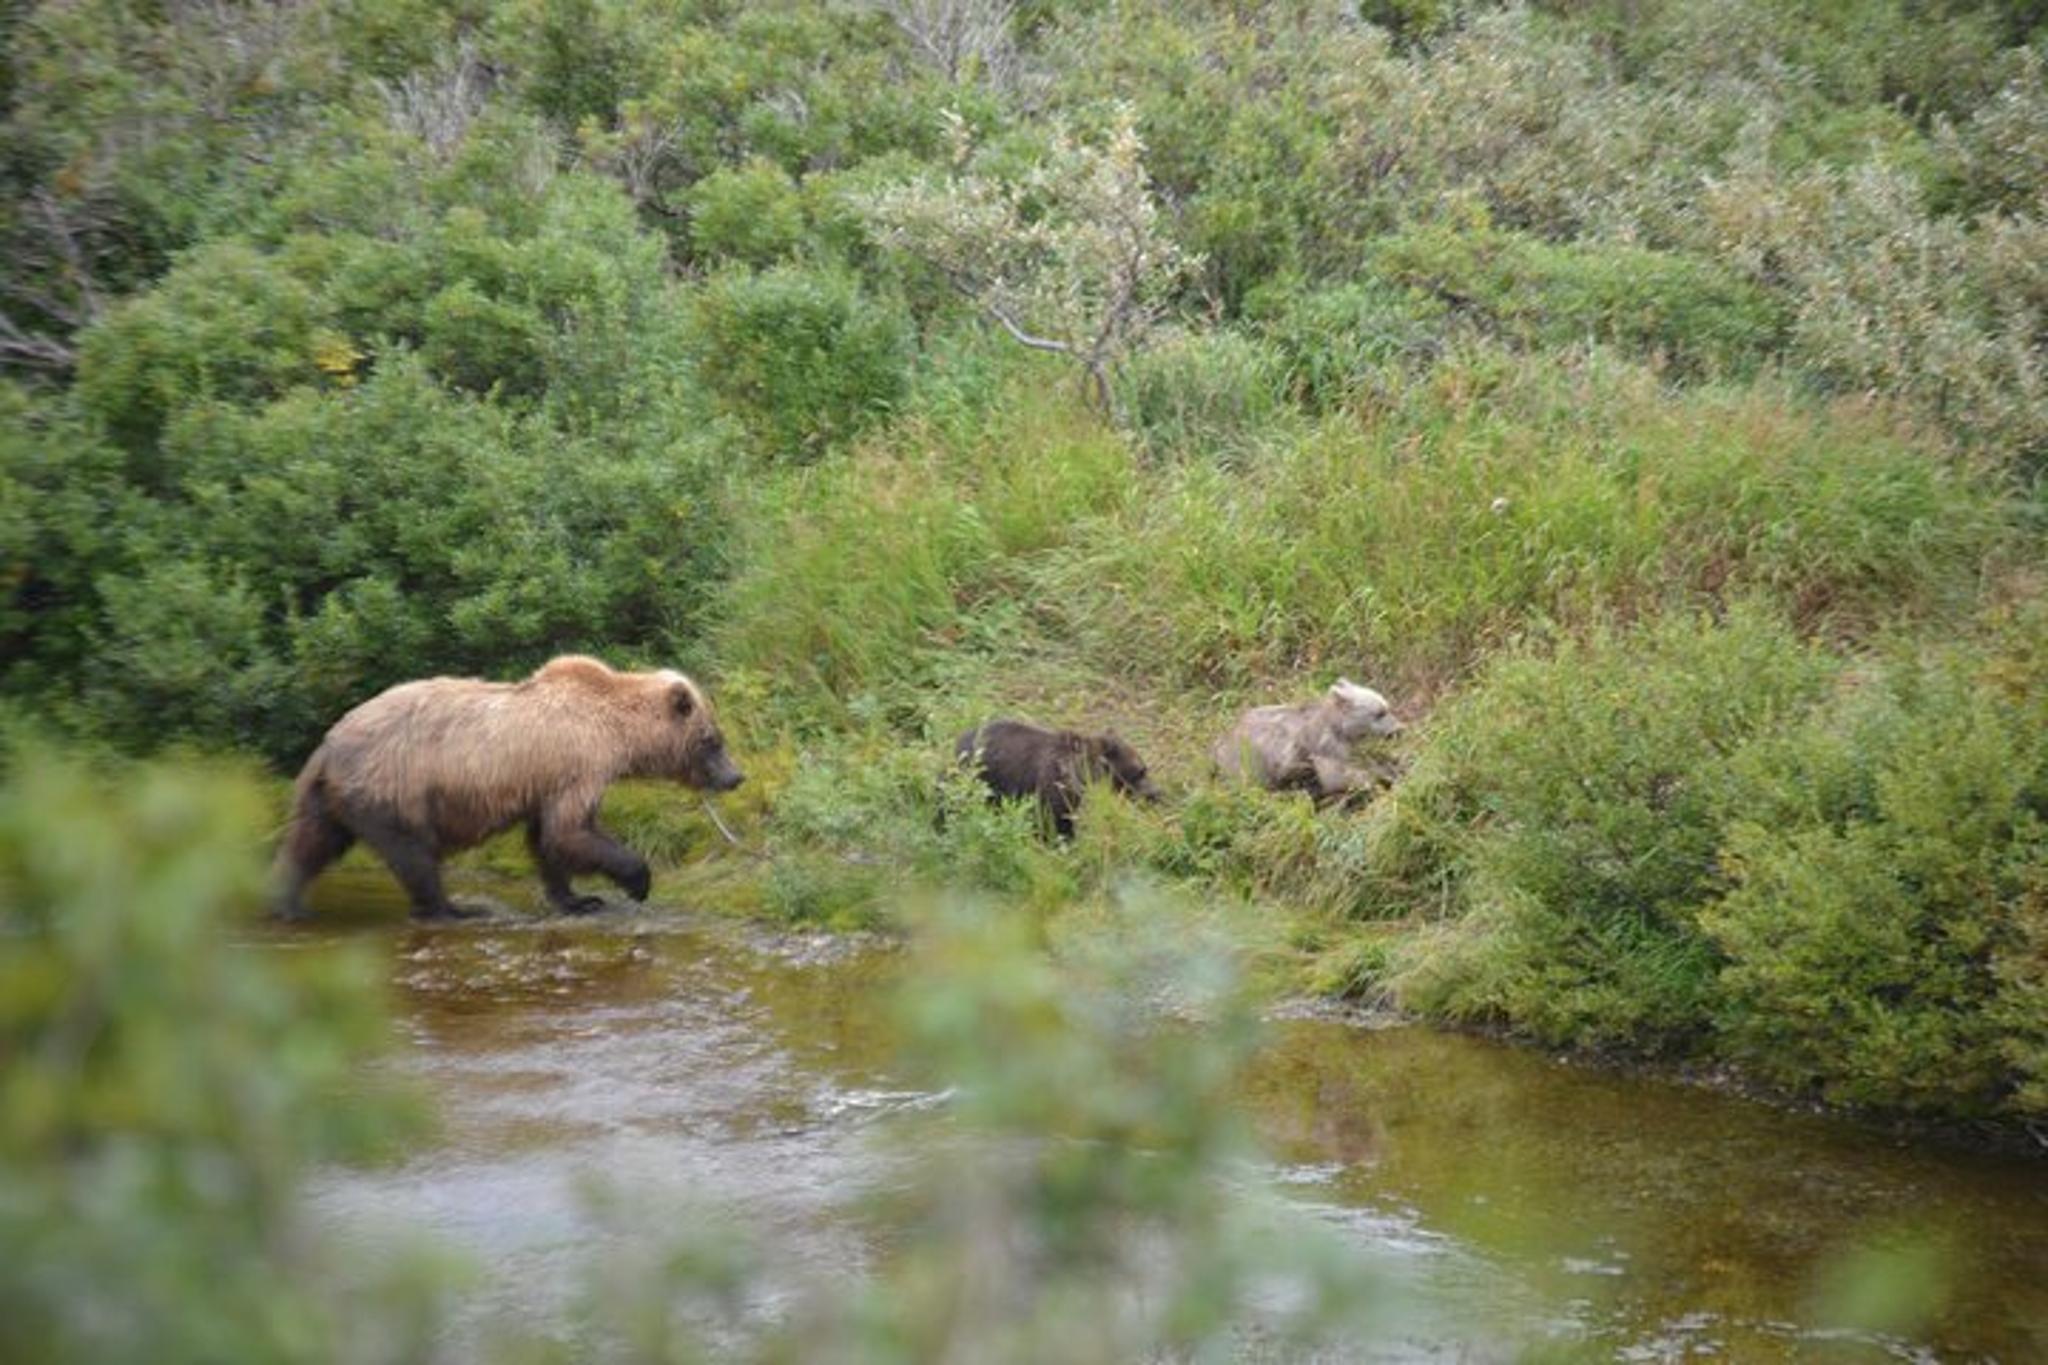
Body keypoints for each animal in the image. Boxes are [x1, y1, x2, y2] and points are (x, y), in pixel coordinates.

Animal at [273, 655, 743, 922]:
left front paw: (576, 899)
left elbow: (547, 840)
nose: (736, 777)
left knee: (311, 843)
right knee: (414, 854)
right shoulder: (577, 763)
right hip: (392, 787)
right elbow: (571, 831)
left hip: (330, 797)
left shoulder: (546, 780)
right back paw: (454, 909)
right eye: (712, 739)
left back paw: (289, 904)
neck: (617, 731)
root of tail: (327, 745)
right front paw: (638, 880)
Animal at [953, 719, 1160, 840]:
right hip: (980, 775)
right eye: (1141, 771)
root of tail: (961, 737)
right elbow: (1052, 819)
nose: (1157, 794)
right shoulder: (1052, 784)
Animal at [1213, 678, 1403, 802]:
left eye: (1386, 707)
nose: (1399, 730)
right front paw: (1383, 778)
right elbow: (1338, 775)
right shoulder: (1324, 746)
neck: (1341, 730)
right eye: (1379, 713)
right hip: (1249, 763)